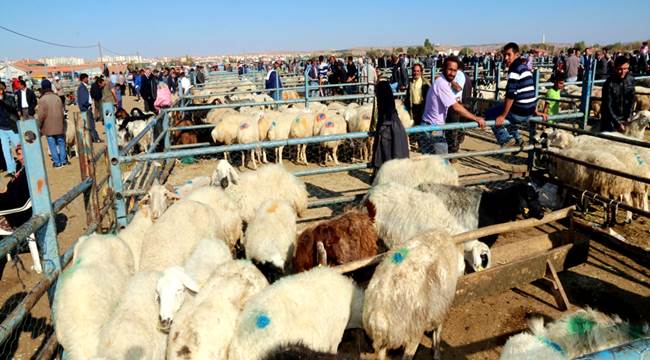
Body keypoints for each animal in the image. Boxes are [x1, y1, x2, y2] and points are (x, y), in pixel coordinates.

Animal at [362, 229, 464, 358]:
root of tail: (379, 316)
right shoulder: (442, 305)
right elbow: (438, 331)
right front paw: (436, 353)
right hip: (414, 332)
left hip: (385, 342)